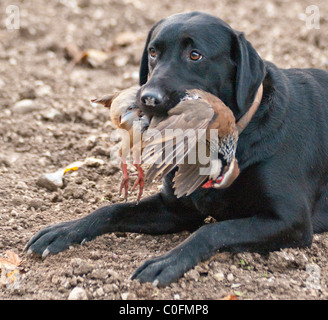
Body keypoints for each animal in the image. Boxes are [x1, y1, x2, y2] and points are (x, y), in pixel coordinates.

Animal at [25, 11, 328, 284]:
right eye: (153, 52)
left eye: (195, 55)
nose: (148, 98)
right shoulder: (175, 210)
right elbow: (111, 210)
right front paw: (64, 230)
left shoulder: (290, 221)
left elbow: (213, 231)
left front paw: (165, 263)